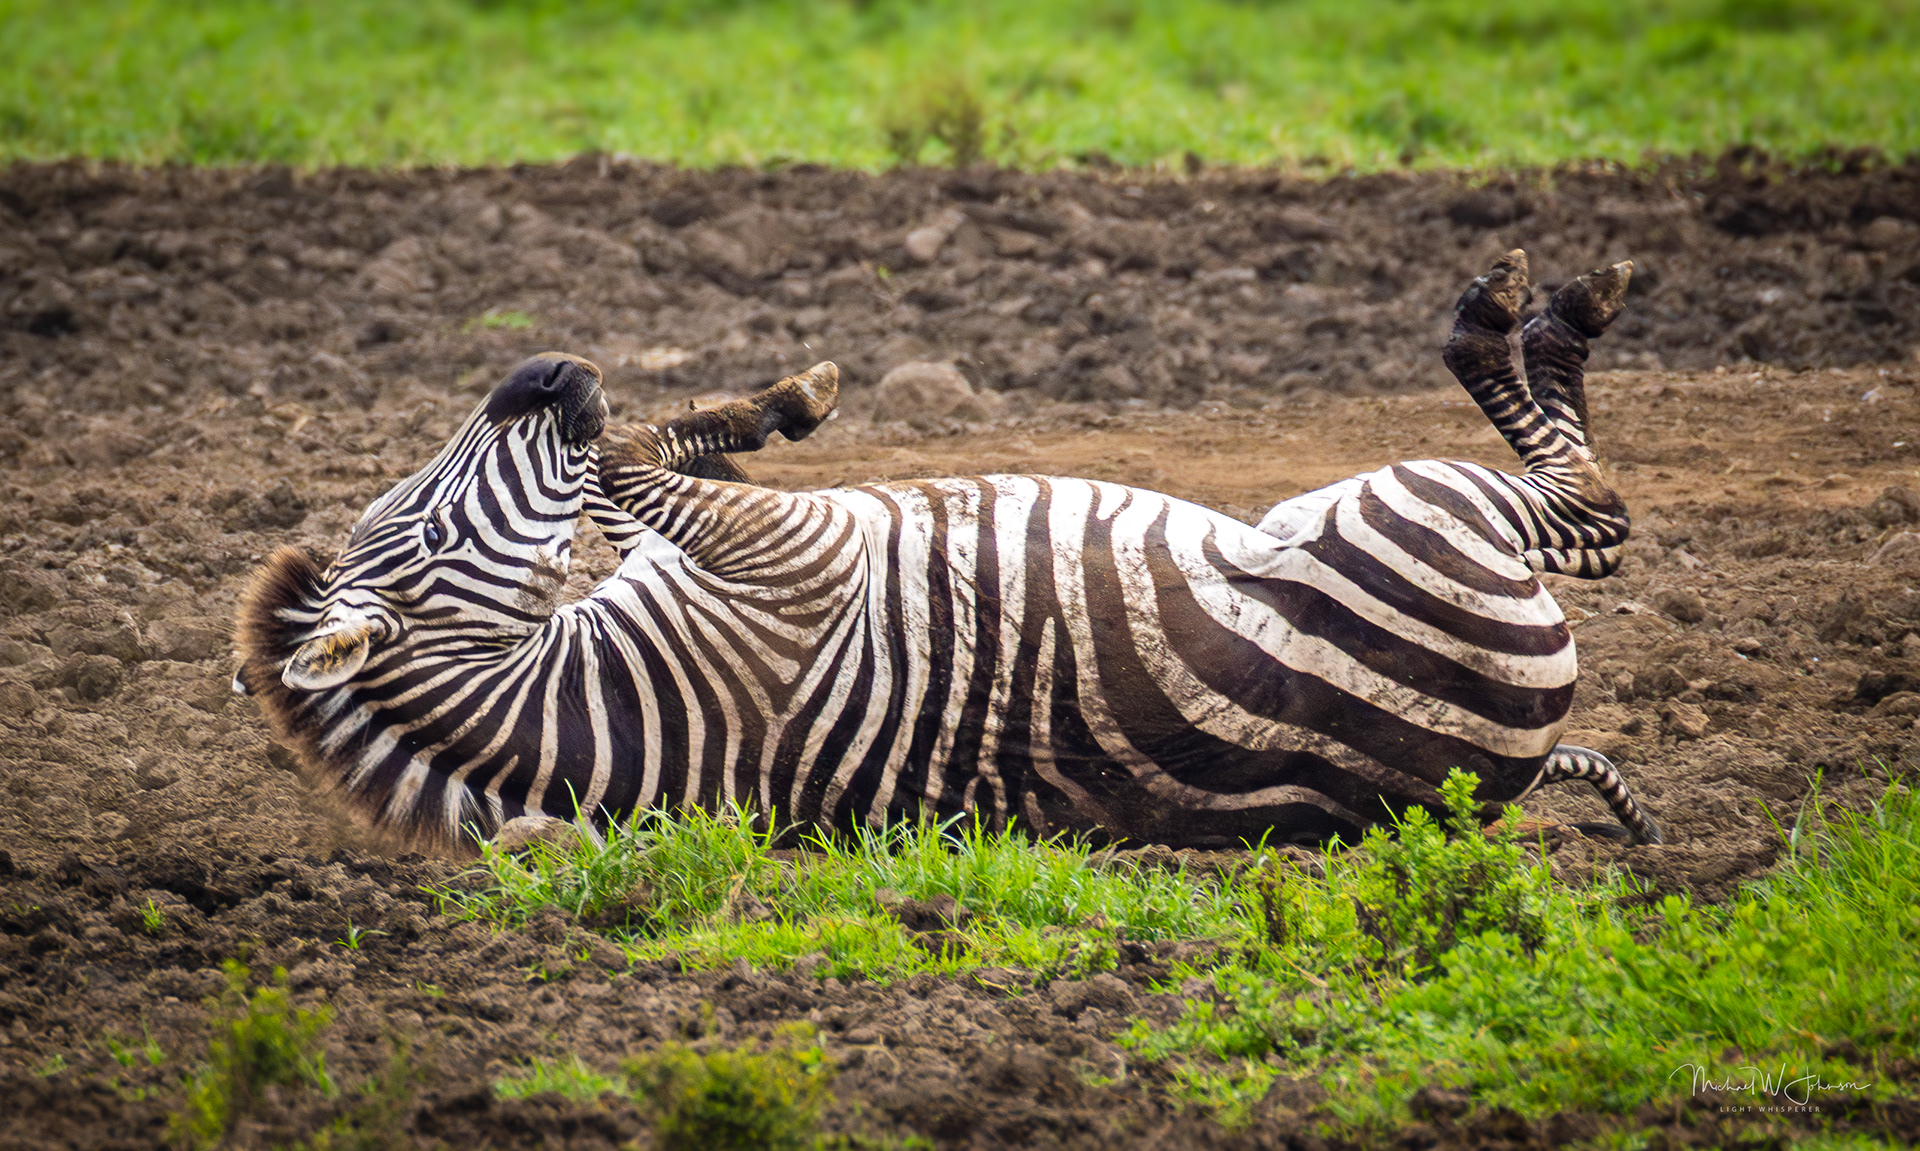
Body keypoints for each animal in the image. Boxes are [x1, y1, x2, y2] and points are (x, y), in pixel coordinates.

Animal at [235, 250, 1660, 850]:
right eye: (425, 523)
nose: (543, 368)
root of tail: (1504, 775)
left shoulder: (710, 545)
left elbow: (640, 453)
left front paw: (772, 403)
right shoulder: (790, 556)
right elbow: (627, 456)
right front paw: (762, 404)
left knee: (1594, 521)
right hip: (1422, 510)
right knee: (1594, 515)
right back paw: (1529, 313)